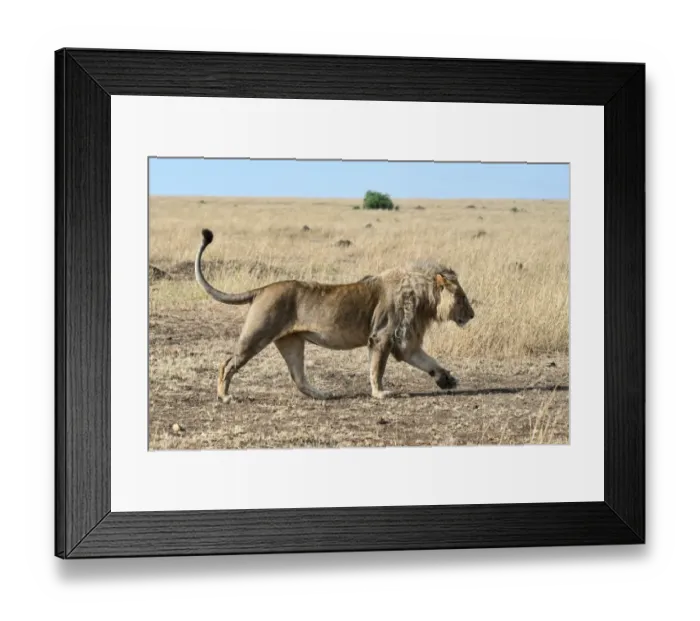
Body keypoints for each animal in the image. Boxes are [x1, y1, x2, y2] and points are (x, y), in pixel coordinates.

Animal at [195, 228, 475, 402]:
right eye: (462, 298)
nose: (472, 315)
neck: (422, 297)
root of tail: (263, 288)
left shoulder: (405, 342)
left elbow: (428, 361)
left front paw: (447, 379)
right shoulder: (382, 337)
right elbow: (377, 369)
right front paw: (380, 393)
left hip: (292, 342)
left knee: (298, 377)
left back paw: (322, 395)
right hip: (257, 334)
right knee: (227, 363)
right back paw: (224, 396)